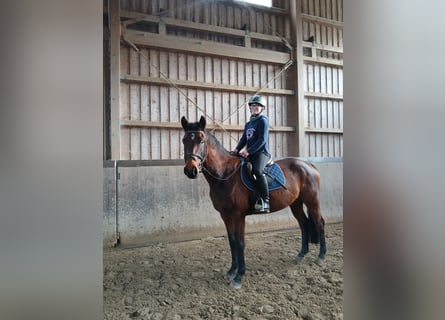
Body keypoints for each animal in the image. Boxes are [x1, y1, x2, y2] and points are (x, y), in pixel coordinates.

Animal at [180, 116, 326, 288]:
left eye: (201, 140)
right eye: (184, 140)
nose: (191, 170)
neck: (225, 175)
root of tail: (309, 165)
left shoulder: (238, 215)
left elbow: (240, 243)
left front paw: (239, 276)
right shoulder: (225, 215)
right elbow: (232, 241)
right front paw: (231, 271)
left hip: (312, 201)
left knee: (319, 223)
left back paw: (321, 257)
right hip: (295, 203)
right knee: (303, 224)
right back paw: (301, 255)